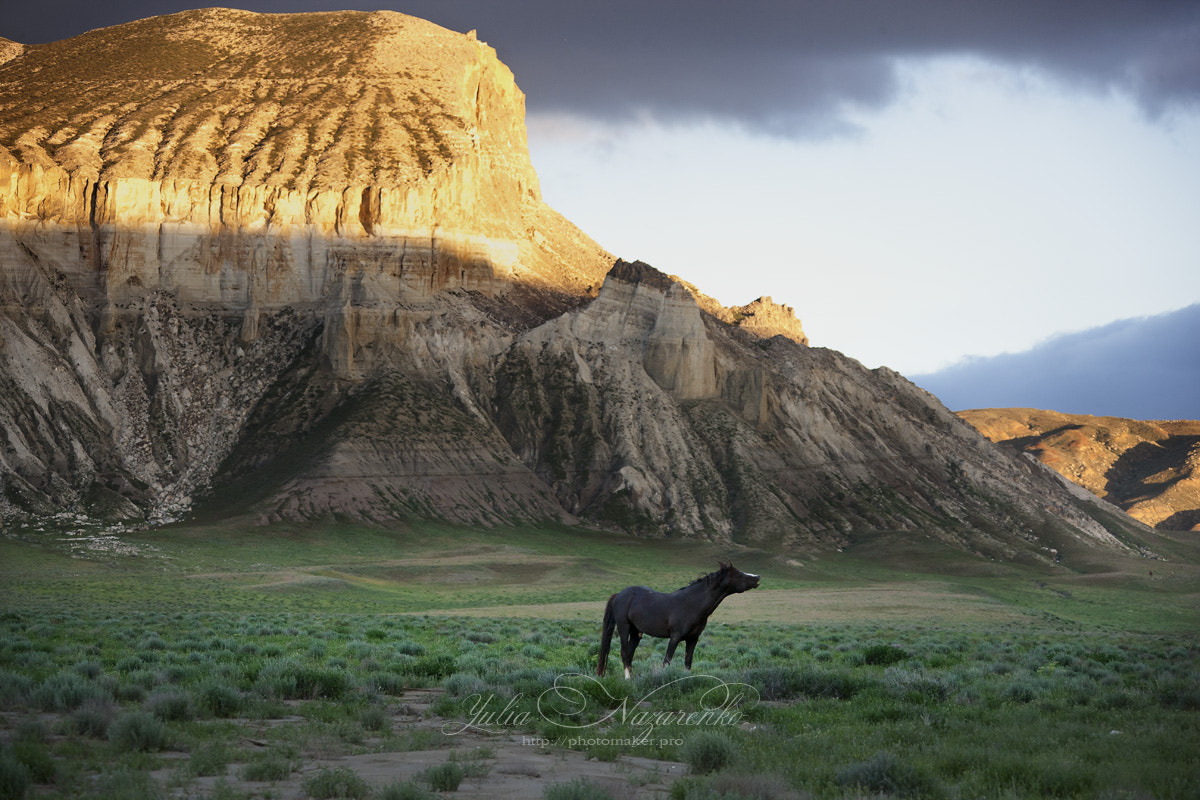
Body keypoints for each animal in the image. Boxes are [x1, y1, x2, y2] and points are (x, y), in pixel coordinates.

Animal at [597, 562, 760, 679]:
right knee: (624, 653)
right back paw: (627, 680)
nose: (757, 577)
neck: (691, 603)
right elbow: (667, 661)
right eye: (738, 574)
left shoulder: (693, 639)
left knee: (630, 654)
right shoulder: (675, 637)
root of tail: (619, 595)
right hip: (624, 628)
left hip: (636, 633)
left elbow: (688, 662)